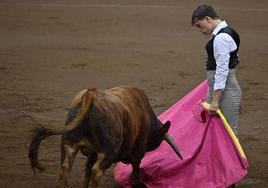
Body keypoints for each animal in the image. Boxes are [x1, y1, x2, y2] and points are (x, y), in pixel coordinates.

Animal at [27, 86, 182, 188]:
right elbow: (135, 173)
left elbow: (86, 171)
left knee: (66, 168)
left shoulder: (92, 153)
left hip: (69, 145)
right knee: (96, 171)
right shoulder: (137, 154)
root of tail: (90, 97)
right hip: (108, 152)